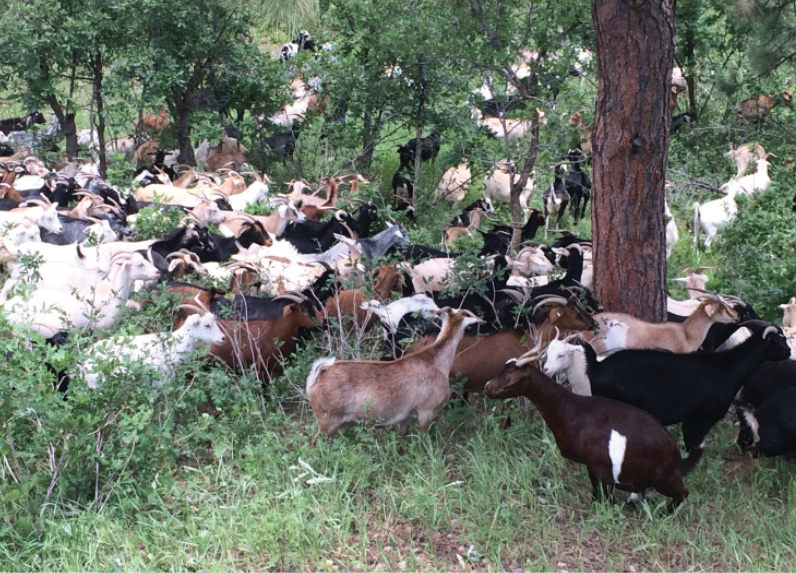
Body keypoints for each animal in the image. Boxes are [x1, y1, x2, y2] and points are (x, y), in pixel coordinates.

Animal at [482, 354, 692, 510]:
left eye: (508, 379)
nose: (487, 388)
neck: (570, 409)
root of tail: (676, 454)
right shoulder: (592, 465)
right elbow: (596, 488)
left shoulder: (600, 466)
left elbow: (602, 490)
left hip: (664, 478)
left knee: (683, 493)